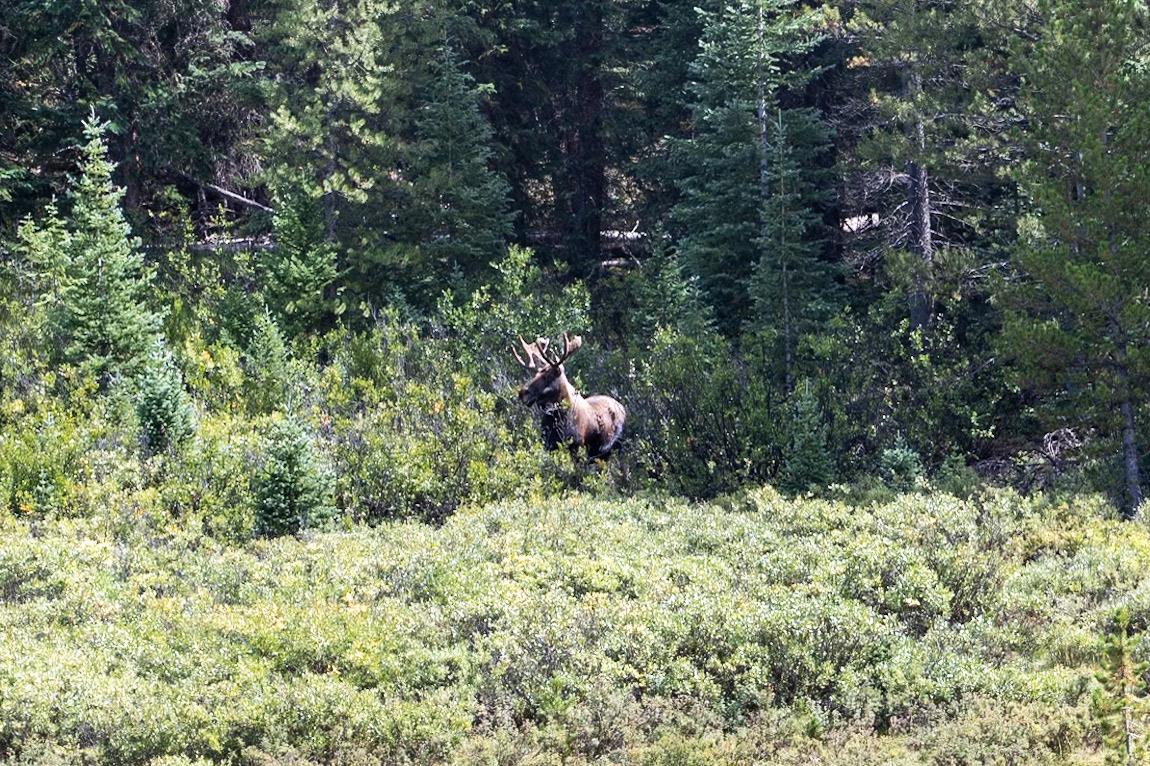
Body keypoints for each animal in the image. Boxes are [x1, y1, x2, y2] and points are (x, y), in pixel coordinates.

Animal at [512, 332, 626, 461]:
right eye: (535, 375)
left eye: (547, 376)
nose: (522, 393)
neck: (558, 418)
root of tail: (623, 408)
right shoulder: (549, 445)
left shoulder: (576, 446)